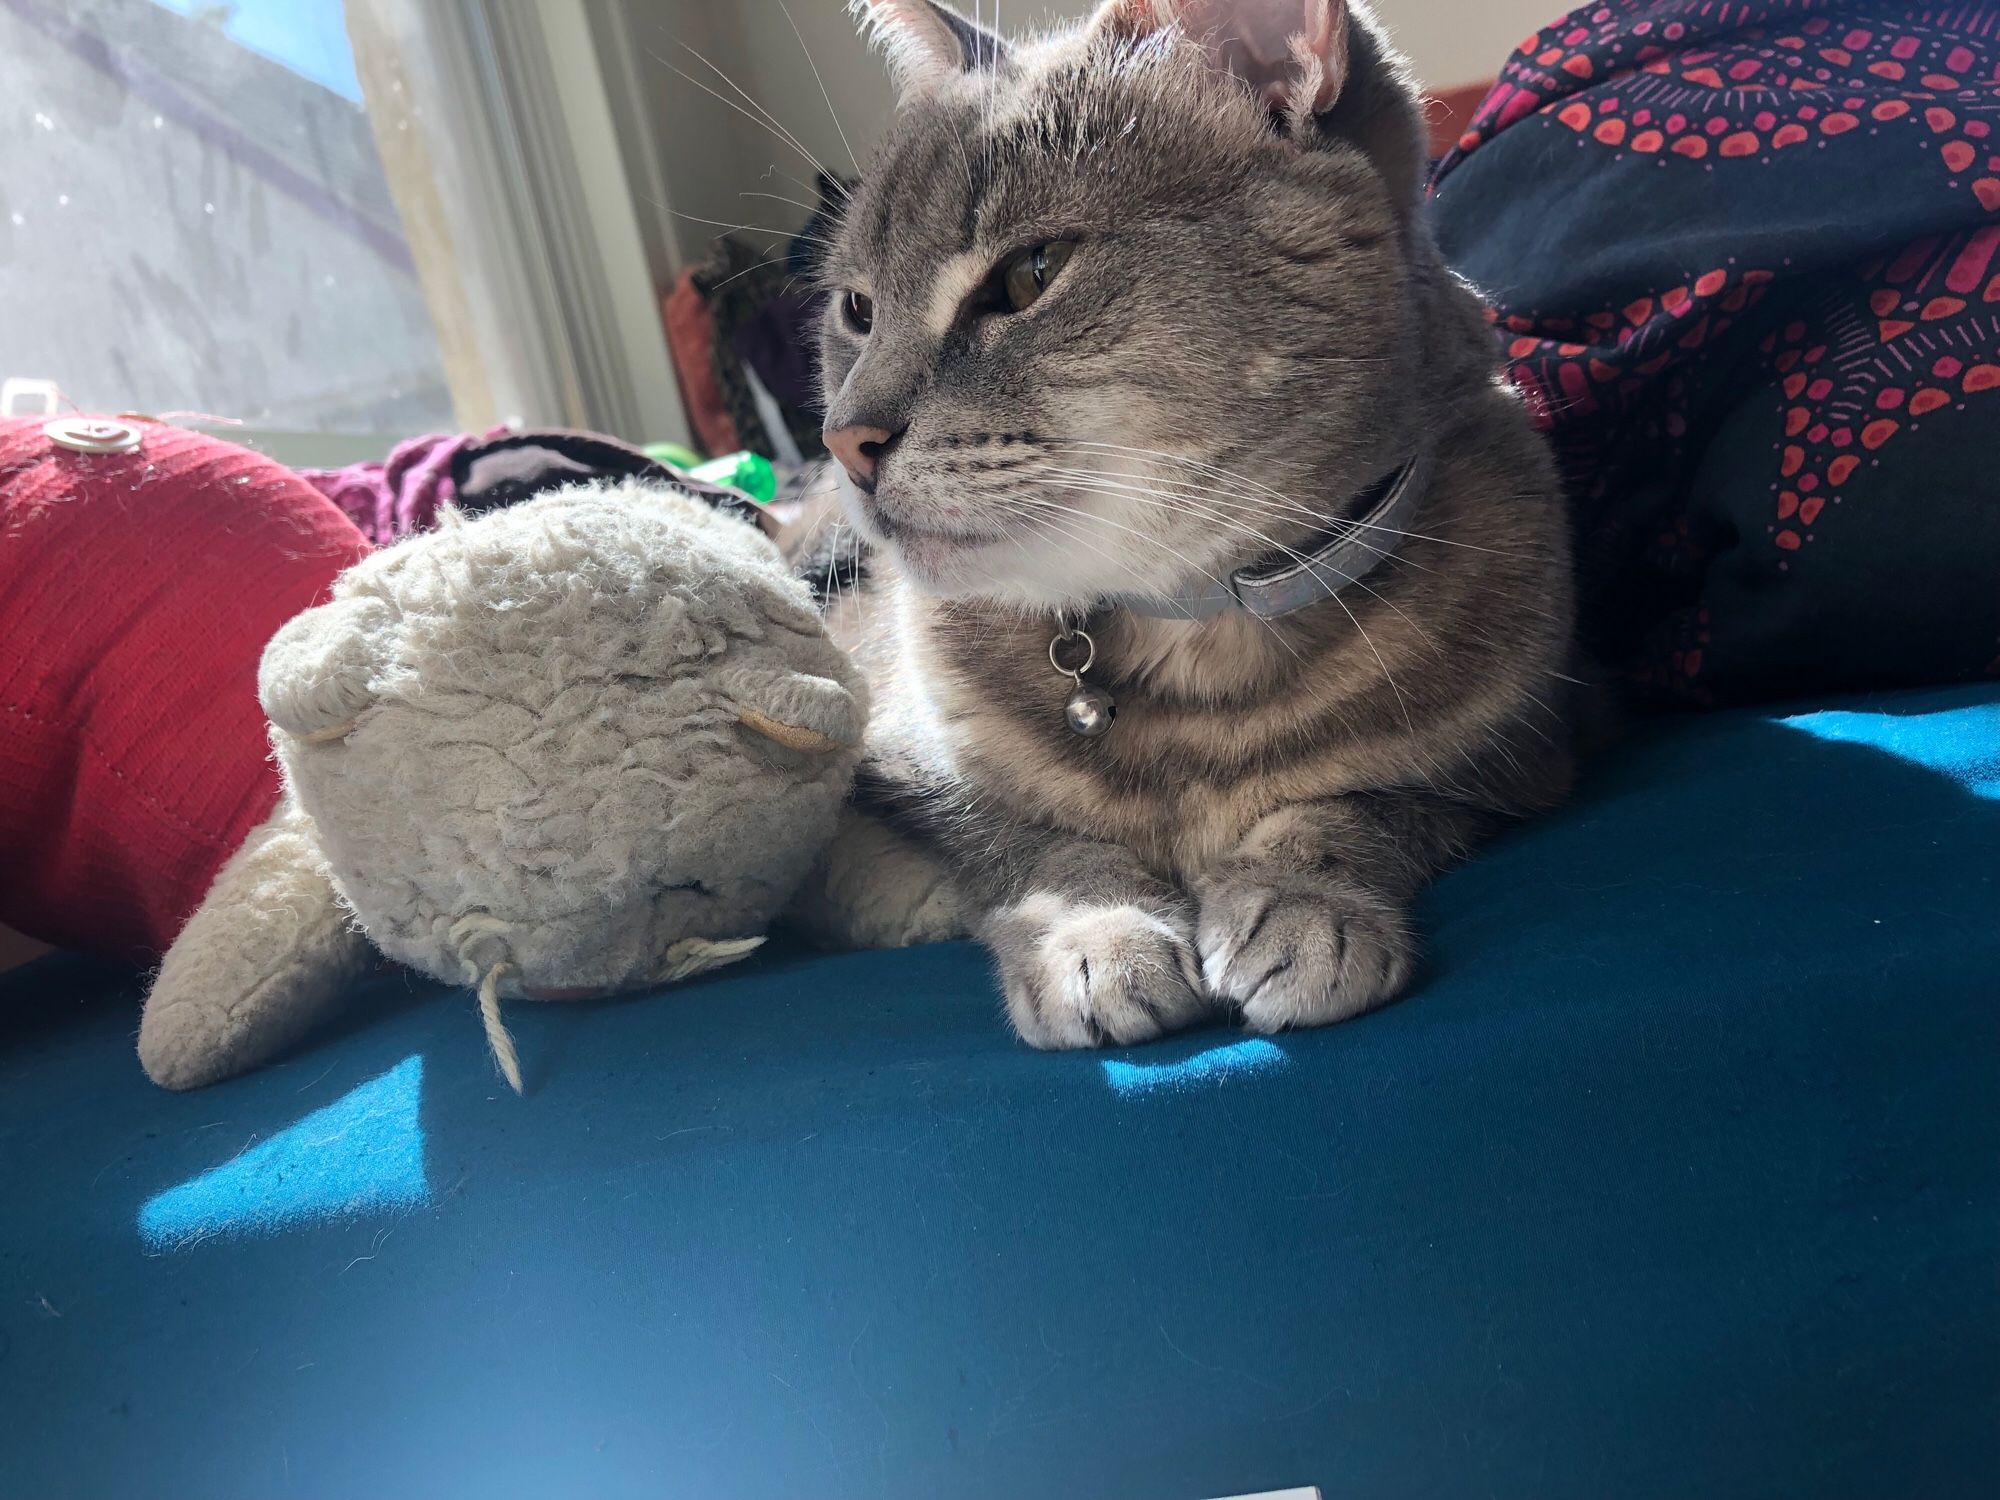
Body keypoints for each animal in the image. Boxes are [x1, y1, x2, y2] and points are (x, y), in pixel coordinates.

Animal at [788, 0, 1568, 1048]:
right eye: (858, 310)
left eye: (1030, 274)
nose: (843, 438)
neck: (1194, 644)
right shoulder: (896, 763)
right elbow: (1025, 841)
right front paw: (1097, 934)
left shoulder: (1532, 746)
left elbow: (1363, 801)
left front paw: (1303, 900)